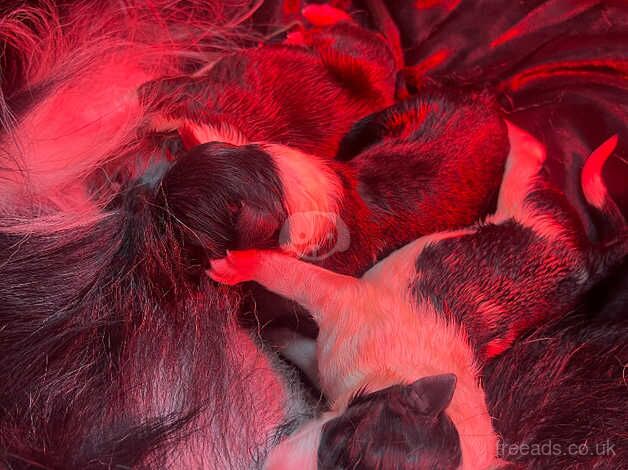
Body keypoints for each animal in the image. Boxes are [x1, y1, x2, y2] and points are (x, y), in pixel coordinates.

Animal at [209, 126, 624, 468]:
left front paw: (241, 279)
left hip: (536, 218)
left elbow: (292, 281)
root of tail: (589, 260)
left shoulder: (340, 303)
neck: (397, 377)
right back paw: (520, 138)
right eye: (345, 442)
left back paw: (521, 140)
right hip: (530, 219)